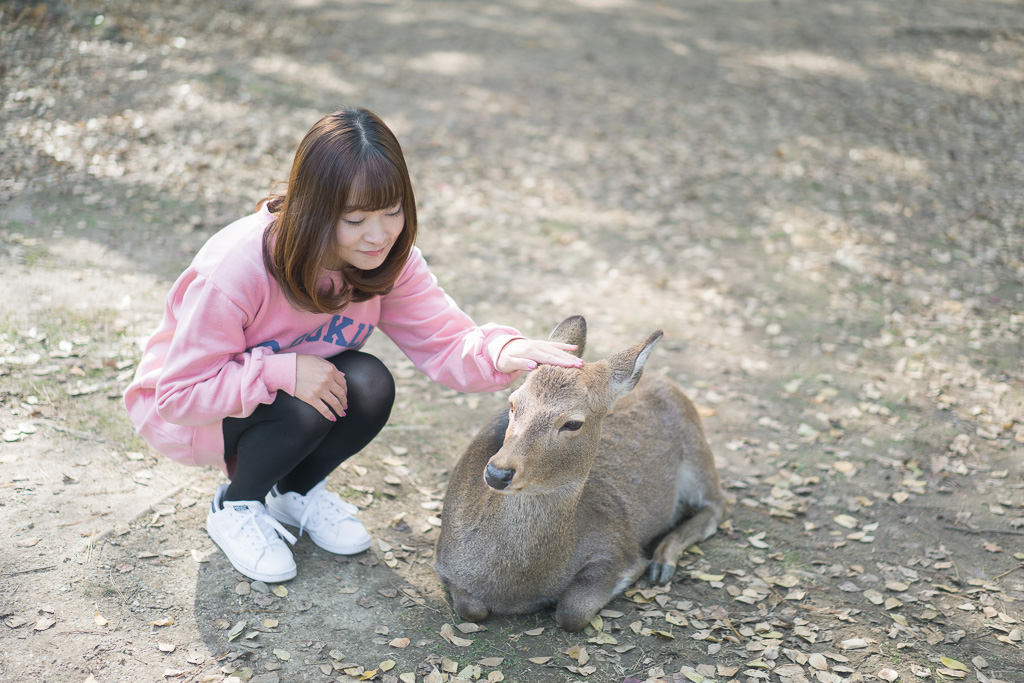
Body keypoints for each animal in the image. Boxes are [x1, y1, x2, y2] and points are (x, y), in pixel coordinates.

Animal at [432, 317, 729, 634]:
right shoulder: (443, 559)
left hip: (697, 452)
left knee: (718, 505)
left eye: (573, 423)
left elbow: (572, 610)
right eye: (512, 404)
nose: (497, 473)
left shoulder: (615, 545)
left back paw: (663, 561)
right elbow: (470, 608)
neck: (514, 588)